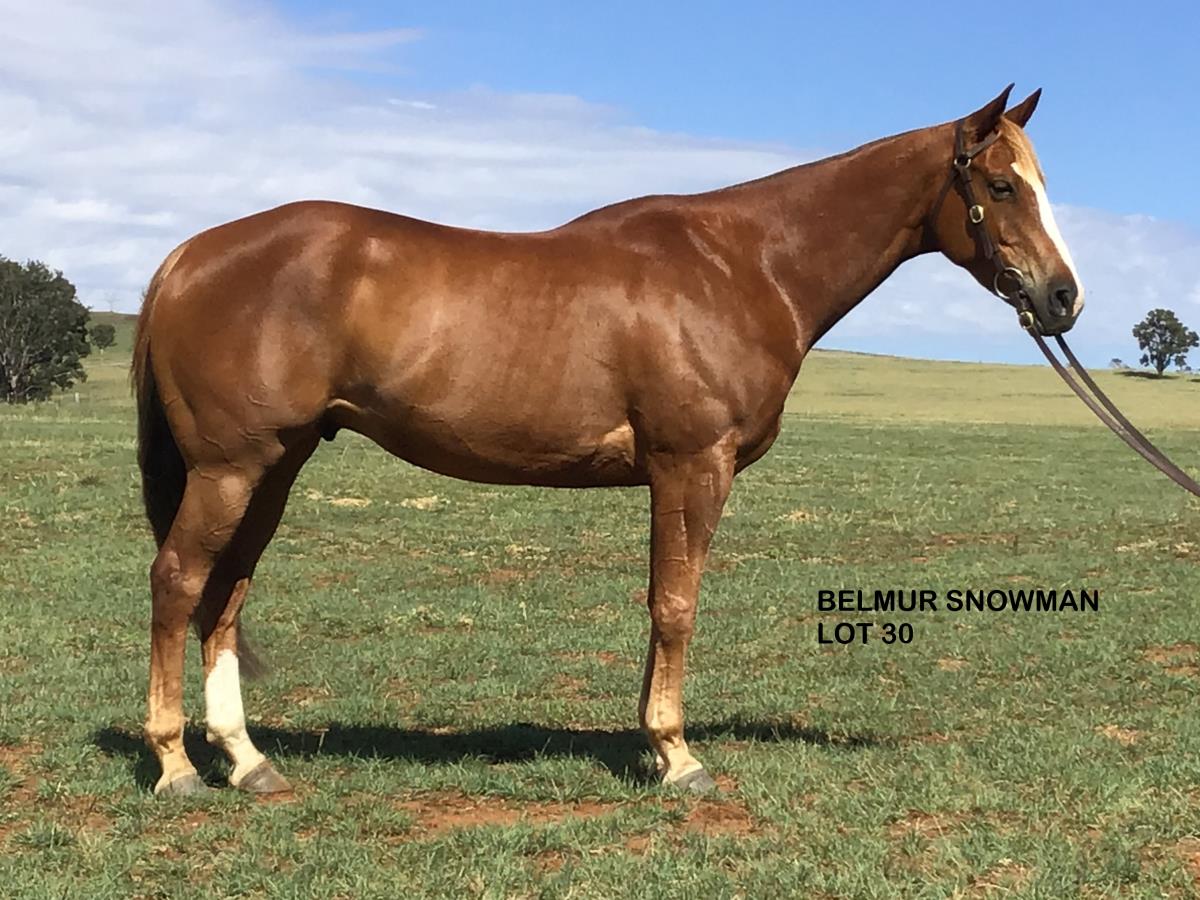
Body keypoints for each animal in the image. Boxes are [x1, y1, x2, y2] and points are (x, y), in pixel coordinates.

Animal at [132, 84, 1083, 796]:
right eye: (1002, 186)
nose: (1063, 297)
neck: (744, 264)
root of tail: (187, 257)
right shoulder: (693, 466)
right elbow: (677, 605)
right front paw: (679, 756)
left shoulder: (674, 476)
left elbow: (662, 602)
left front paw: (654, 744)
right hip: (230, 468)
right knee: (179, 583)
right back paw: (178, 765)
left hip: (274, 467)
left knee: (226, 593)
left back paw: (249, 761)